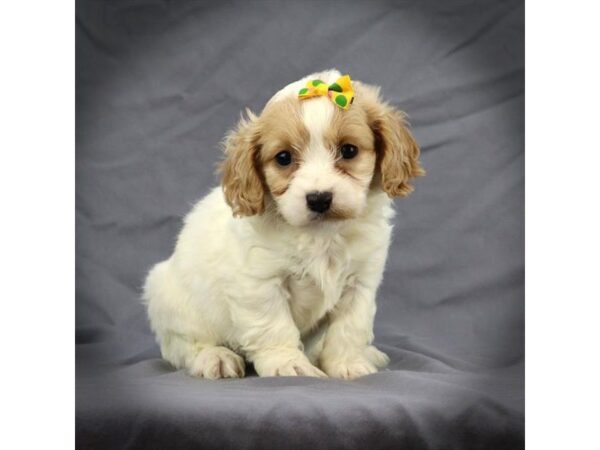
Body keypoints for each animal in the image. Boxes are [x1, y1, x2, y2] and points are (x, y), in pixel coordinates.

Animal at [142, 69, 422, 380]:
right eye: (284, 158)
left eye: (348, 150)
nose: (319, 198)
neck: (321, 235)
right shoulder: (259, 283)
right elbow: (273, 326)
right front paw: (288, 364)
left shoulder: (360, 283)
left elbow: (349, 327)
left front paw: (348, 363)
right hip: (168, 297)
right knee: (184, 346)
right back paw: (215, 357)